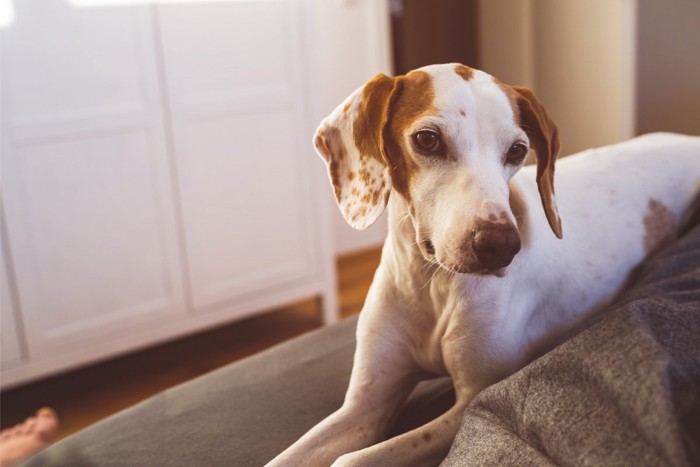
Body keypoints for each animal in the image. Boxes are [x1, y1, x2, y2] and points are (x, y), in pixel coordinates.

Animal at [268, 64, 700, 466]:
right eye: (427, 139)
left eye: (517, 150)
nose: (501, 246)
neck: (433, 283)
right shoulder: (364, 406)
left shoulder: (472, 401)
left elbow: (351, 458)